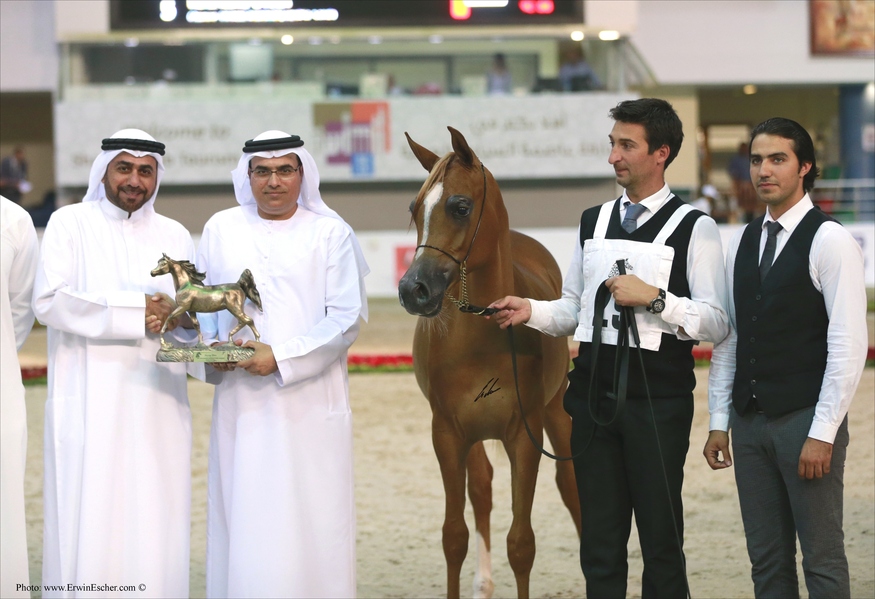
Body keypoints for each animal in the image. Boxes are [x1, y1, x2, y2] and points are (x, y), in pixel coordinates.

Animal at [398, 127, 581, 599]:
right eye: (414, 208)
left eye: (460, 206)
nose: (412, 290)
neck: (478, 340)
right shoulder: (447, 434)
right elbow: (454, 535)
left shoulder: (524, 437)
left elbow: (521, 543)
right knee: (481, 488)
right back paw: (483, 581)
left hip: (556, 410)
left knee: (570, 485)